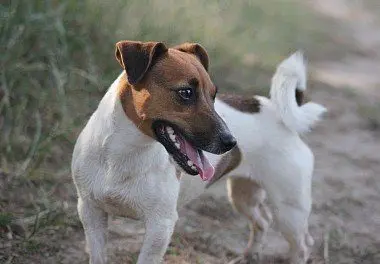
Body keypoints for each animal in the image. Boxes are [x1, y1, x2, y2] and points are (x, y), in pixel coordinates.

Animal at [71, 39, 236, 264]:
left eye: (213, 95)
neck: (123, 153)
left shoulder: (161, 226)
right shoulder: (90, 210)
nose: (231, 141)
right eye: (186, 93)